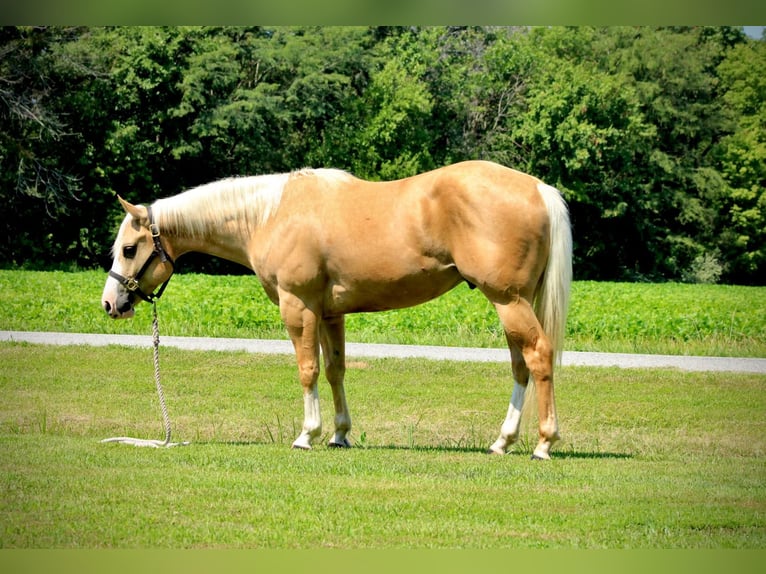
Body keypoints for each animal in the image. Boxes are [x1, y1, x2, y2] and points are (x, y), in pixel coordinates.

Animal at [100, 160, 568, 462]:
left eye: (129, 249)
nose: (111, 303)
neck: (271, 214)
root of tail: (537, 188)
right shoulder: (329, 313)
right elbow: (335, 370)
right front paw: (340, 434)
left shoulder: (299, 306)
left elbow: (307, 369)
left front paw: (307, 434)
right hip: (513, 302)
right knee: (520, 367)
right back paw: (503, 442)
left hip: (508, 300)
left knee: (538, 356)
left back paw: (543, 444)